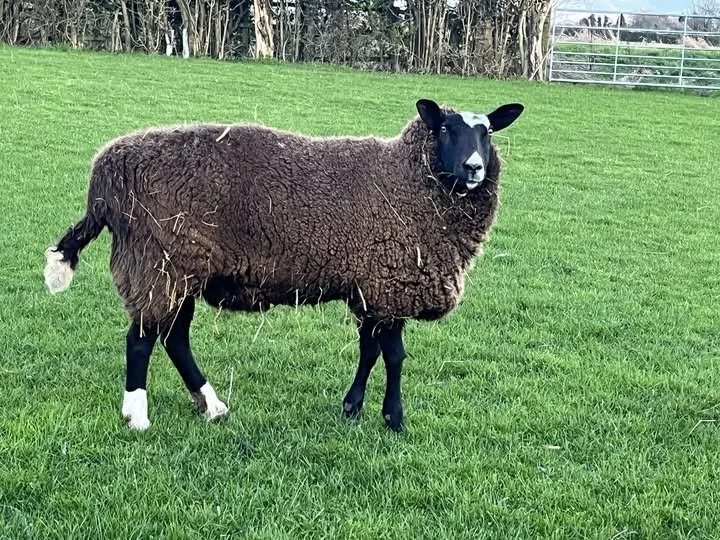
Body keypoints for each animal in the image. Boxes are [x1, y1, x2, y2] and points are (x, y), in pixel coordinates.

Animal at [44, 98, 524, 432]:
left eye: (487, 132)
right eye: (445, 128)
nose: (474, 167)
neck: (406, 181)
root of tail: (105, 177)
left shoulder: (370, 287)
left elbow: (369, 351)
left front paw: (353, 407)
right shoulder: (389, 285)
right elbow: (393, 356)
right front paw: (394, 418)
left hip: (182, 268)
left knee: (174, 338)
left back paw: (211, 406)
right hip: (160, 262)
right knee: (142, 340)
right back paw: (138, 416)